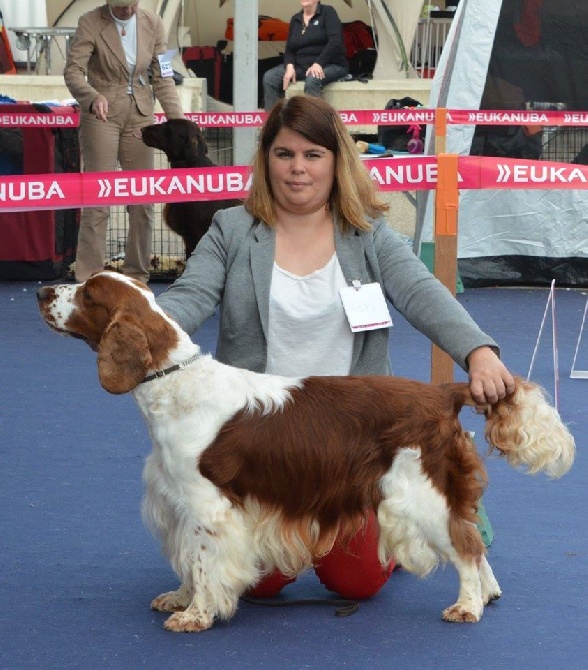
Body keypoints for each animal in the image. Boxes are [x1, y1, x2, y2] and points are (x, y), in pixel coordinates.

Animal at [36, 270, 576, 632]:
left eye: (87, 293)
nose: (41, 292)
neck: (174, 383)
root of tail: (443, 393)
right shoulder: (178, 502)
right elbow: (187, 559)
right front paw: (179, 598)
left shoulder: (208, 506)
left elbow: (205, 561)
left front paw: (196, 615)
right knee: (473, 537)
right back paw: (487, 594)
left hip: (416, 493)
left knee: (465, 545)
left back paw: (467, 606)